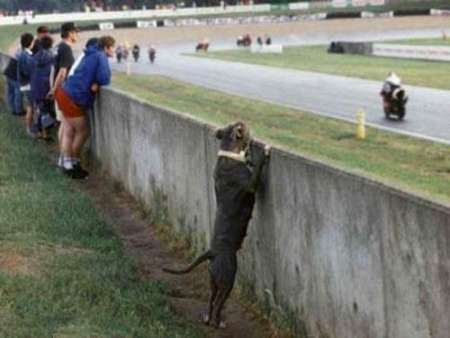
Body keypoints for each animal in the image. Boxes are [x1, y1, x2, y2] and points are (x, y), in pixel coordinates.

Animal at [164, 121, 270, 328]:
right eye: (244, 127)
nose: (245, 124)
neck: (229, 151)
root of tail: (212, 252)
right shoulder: (250, 184)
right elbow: (258, 169)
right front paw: (264, 152)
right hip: (227, 278)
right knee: (220, 301)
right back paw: (217, 321)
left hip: (213, 279)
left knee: (211, 299)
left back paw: (207, 318)